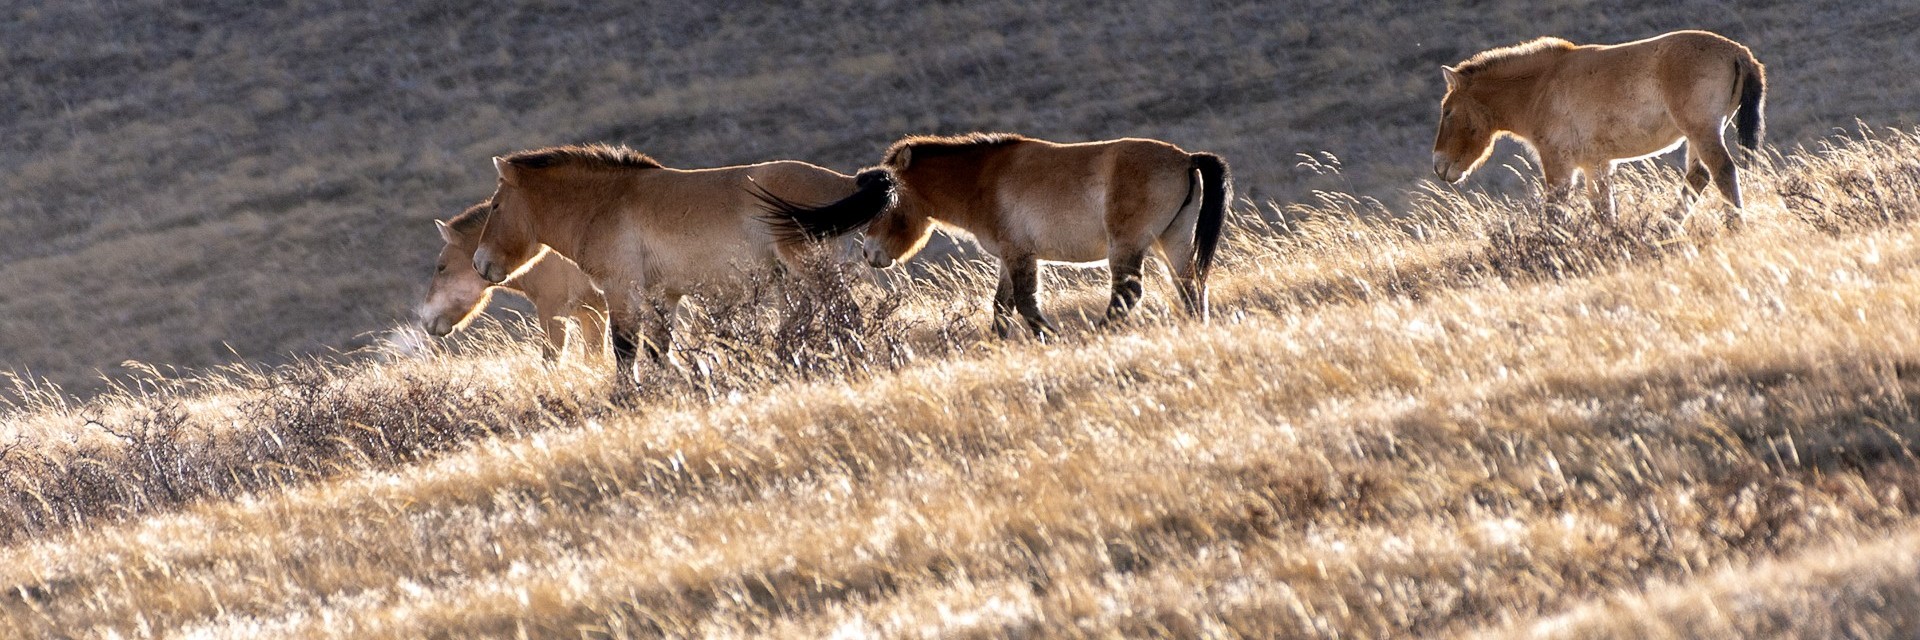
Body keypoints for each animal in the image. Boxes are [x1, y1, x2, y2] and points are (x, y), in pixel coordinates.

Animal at [472, 143, 871, 378]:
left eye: (496, 206)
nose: (480, 263)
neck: (605, 202)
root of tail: (846, 181)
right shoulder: (662, 295)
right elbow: (657, 349)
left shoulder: (621, 290)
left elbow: (625, 349)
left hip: (813, 271)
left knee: (846, 312)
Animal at [752, 131, 1228, 336]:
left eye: (885, 201)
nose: (870, 253)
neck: (982, 179)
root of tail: (1186, 158)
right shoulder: (1007, 258)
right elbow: (1001, 307)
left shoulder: (1019, 254)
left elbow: (1025, 305)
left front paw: (1048, 336)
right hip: (1173, 243)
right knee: (1191, 287)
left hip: (1127, 247)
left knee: (1128, 294)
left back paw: (1097, 332)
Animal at [1428, 31, 1766, 222]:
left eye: (1447, 111)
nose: (1439, 165)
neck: (1541, 86)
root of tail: (1739, 53)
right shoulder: (1597, 166)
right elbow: (1605, 213)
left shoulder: (1559, 165)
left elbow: (1554, 212)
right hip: (1697, 136)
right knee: (1699, 177)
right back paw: (1665, 230)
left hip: (1702, 131)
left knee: (1722, 171)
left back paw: (1735, 226)